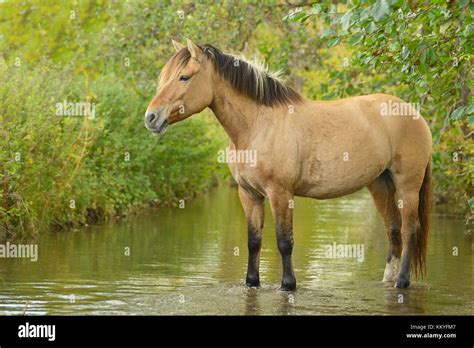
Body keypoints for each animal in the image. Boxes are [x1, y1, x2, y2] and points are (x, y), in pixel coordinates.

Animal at [145, 39, 434, 290]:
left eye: (185, 77)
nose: (151, 117)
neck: (257, 125)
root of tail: (414, 113)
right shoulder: (248, 194)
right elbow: (254, 241)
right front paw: (252, 282)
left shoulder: (280, 193)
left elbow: (284, 242)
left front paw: (288, 284)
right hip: (380, 185)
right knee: (393, 229)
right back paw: (388, 279)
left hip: (407, 186)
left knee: (410, 229)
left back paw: (402, 282)